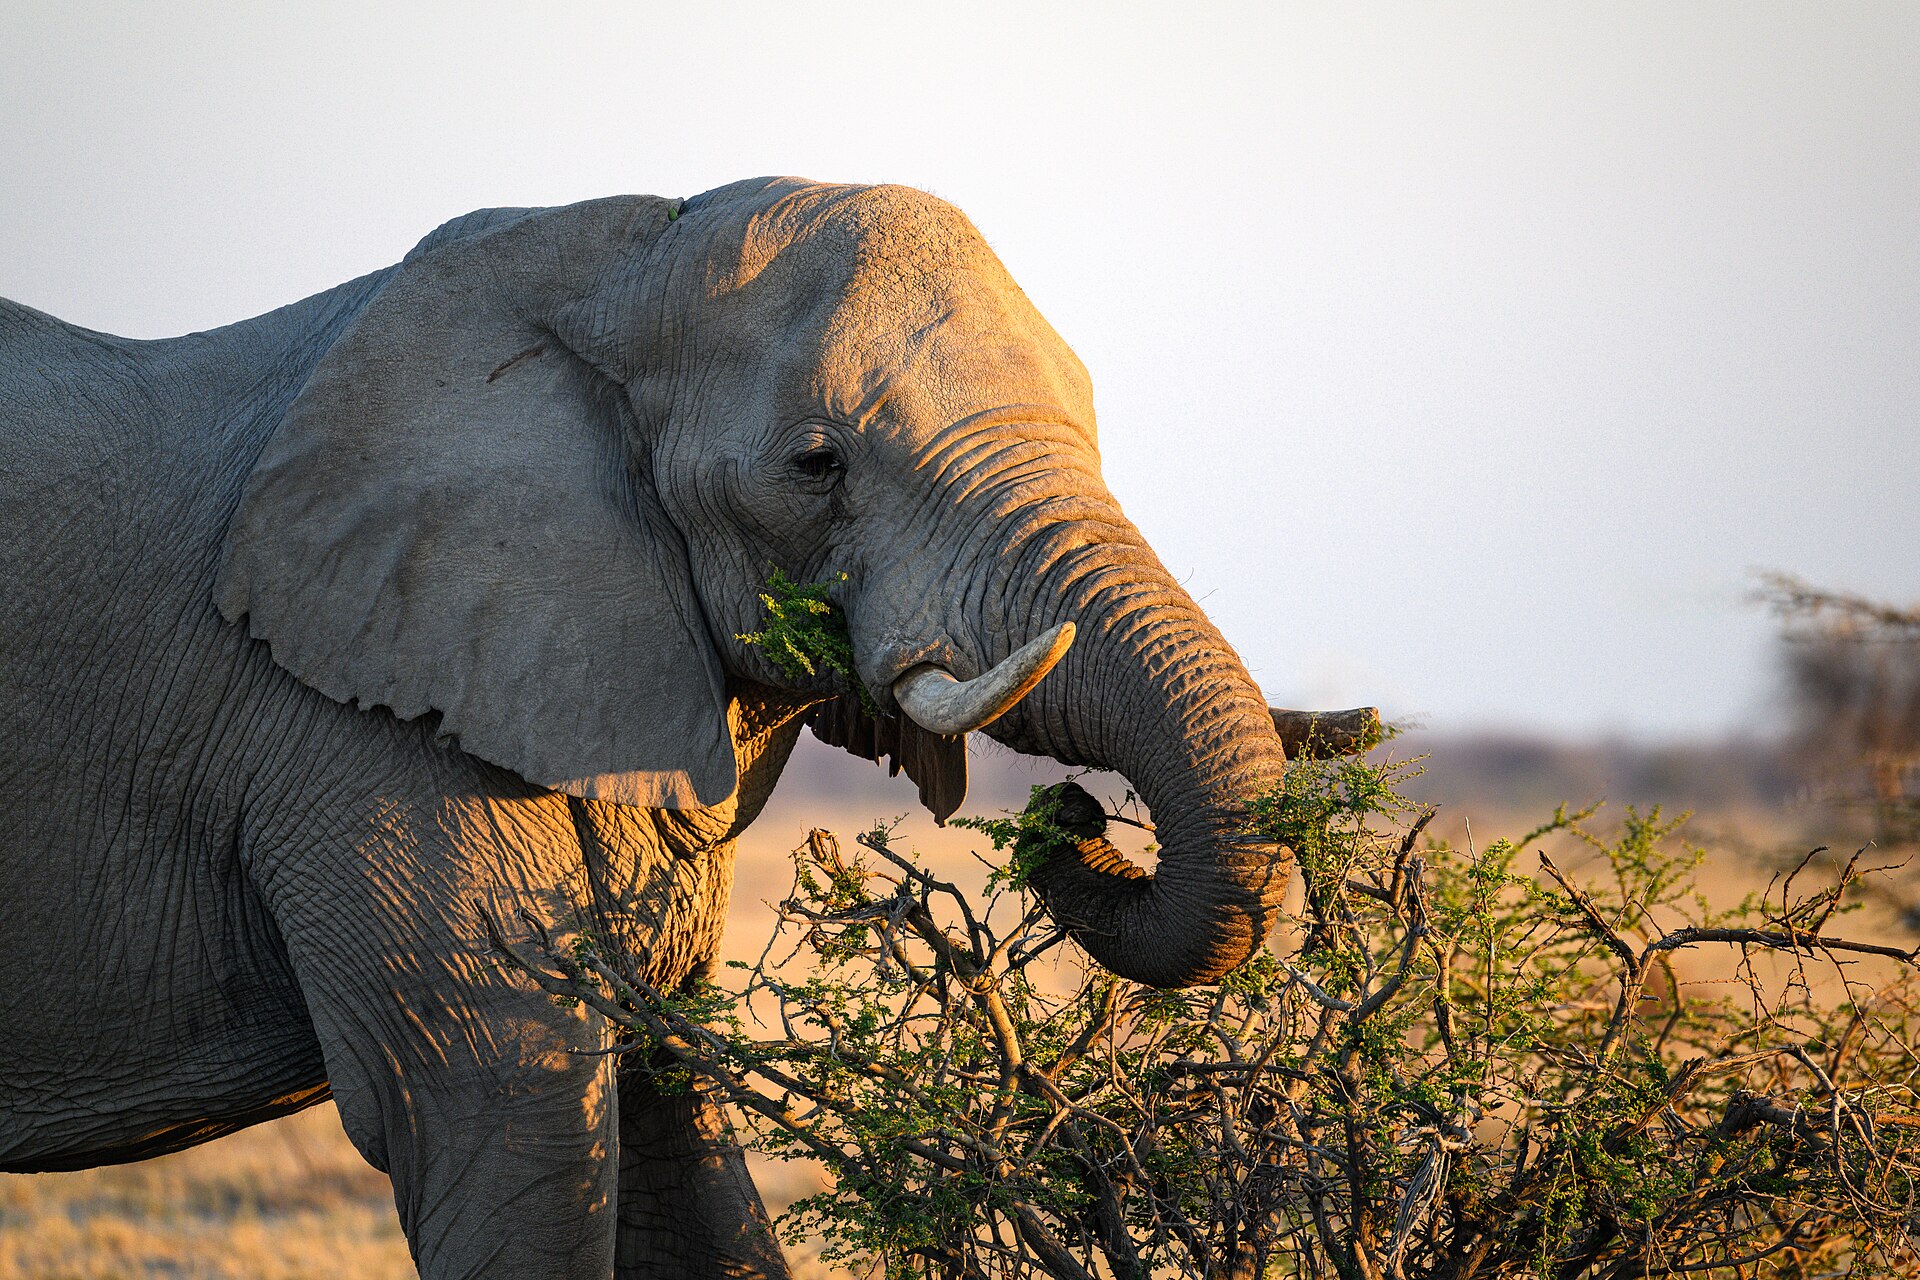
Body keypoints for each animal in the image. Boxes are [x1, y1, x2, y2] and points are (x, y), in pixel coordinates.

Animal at [0, 178, 1373, 1277]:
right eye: (818, 463)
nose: (1069, 813)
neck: (603, 265)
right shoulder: (355, 722)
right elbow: (504, 1105)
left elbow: (675, 1119)